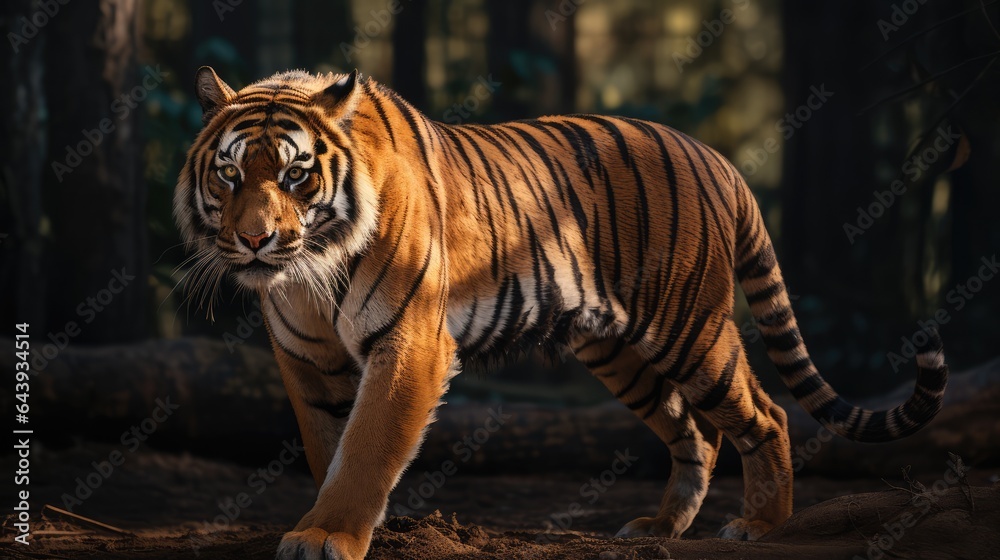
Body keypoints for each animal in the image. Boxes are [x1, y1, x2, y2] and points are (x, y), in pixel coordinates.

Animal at [174, 67, 948, 560]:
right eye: (230, 172)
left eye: (296, 174)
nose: (256, 240)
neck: (308, 273)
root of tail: (716, 157)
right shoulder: (306, 360)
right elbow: (325, 445)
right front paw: (335, 523)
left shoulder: (410, 342)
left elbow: (366, 445)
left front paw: (327, 535)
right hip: (617, 351)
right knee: (696, 433)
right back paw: (660, 527)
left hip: (688, 328)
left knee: (765, 413)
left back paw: (761, 525)